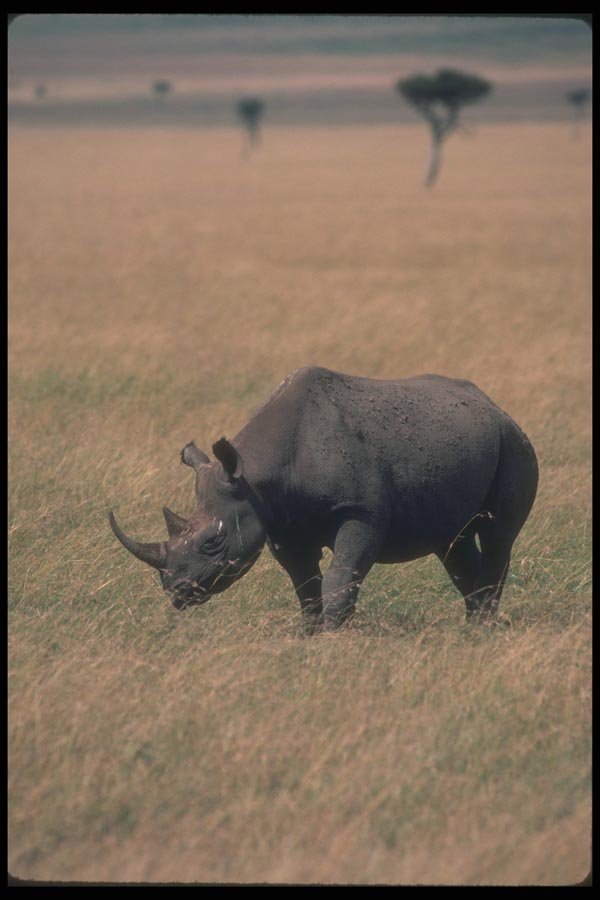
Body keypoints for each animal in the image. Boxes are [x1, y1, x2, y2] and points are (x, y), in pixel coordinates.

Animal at [109, 366, 538, 633]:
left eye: (213, 542)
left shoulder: (361, 512)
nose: (176, 592)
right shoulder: (280, 523)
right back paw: (475, 625)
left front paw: (334, 634)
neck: (255, 474)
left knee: (499, 535)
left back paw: (480, 630)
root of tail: (495, 405)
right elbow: (304, 584)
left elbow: (340, 575)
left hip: (513, 442)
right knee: (453, 542)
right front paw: (311, 635)